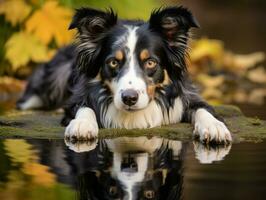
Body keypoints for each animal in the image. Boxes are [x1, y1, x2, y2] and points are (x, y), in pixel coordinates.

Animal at [17, 5, 231, 144]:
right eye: (113, 62)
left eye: (150, 62)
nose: (129, 98)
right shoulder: (76, 100)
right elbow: (84, 108)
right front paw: (82, 125)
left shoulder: (188, 95)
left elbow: (203, 109)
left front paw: (215, 127)